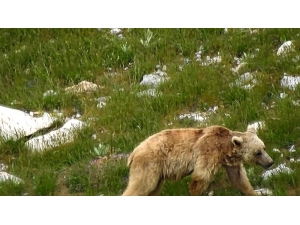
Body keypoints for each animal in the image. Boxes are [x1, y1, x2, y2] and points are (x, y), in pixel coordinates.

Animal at [120, 124, 274, 196]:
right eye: (258, 152)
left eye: (264, 147)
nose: (270, 162)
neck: (224, 149)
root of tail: (133, 153)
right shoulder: (208, 153)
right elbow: (200, 178)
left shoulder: (231, 162)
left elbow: (240, 180)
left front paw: (255, 192)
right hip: (150, 165)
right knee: (142, 186)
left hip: (157, 174)